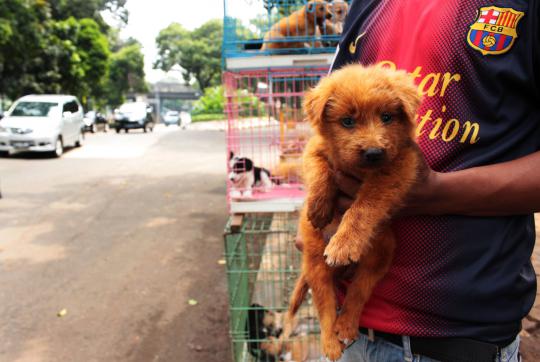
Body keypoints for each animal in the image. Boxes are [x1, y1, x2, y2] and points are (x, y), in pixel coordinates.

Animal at [284, 63, 424, 360]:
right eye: (347, 121)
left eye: (386, 117)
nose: (373, 152)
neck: (360, 170)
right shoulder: (315, 148)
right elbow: (319, 171)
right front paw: (318, 206)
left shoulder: (397, 167)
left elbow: (363, 206)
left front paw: (344, 243)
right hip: (316, 264)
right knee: (325, 311)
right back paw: (330, 343)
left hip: (380, 254)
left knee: (358, 293)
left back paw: (347, 325)